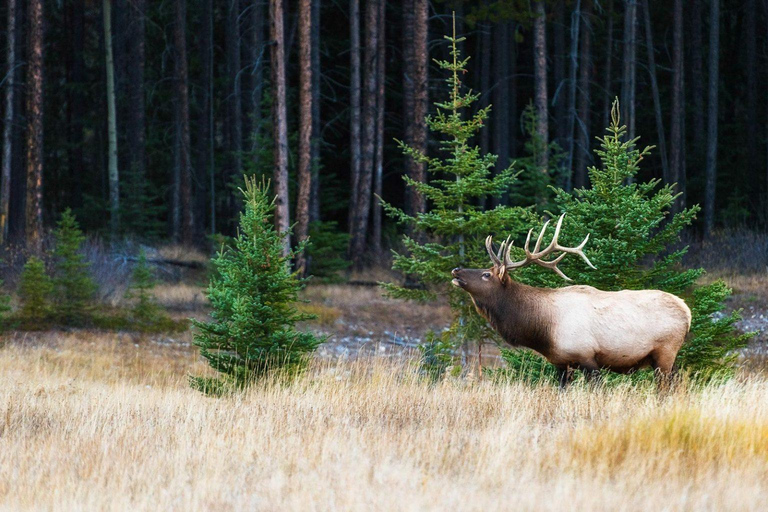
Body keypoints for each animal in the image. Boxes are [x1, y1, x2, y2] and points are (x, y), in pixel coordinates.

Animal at [452, 214, 692, 386]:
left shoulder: (587, 357)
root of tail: (687, 311)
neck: (543, 330)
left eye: (486, 274)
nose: (456, 270)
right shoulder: (560, 362)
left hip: (665, 351)